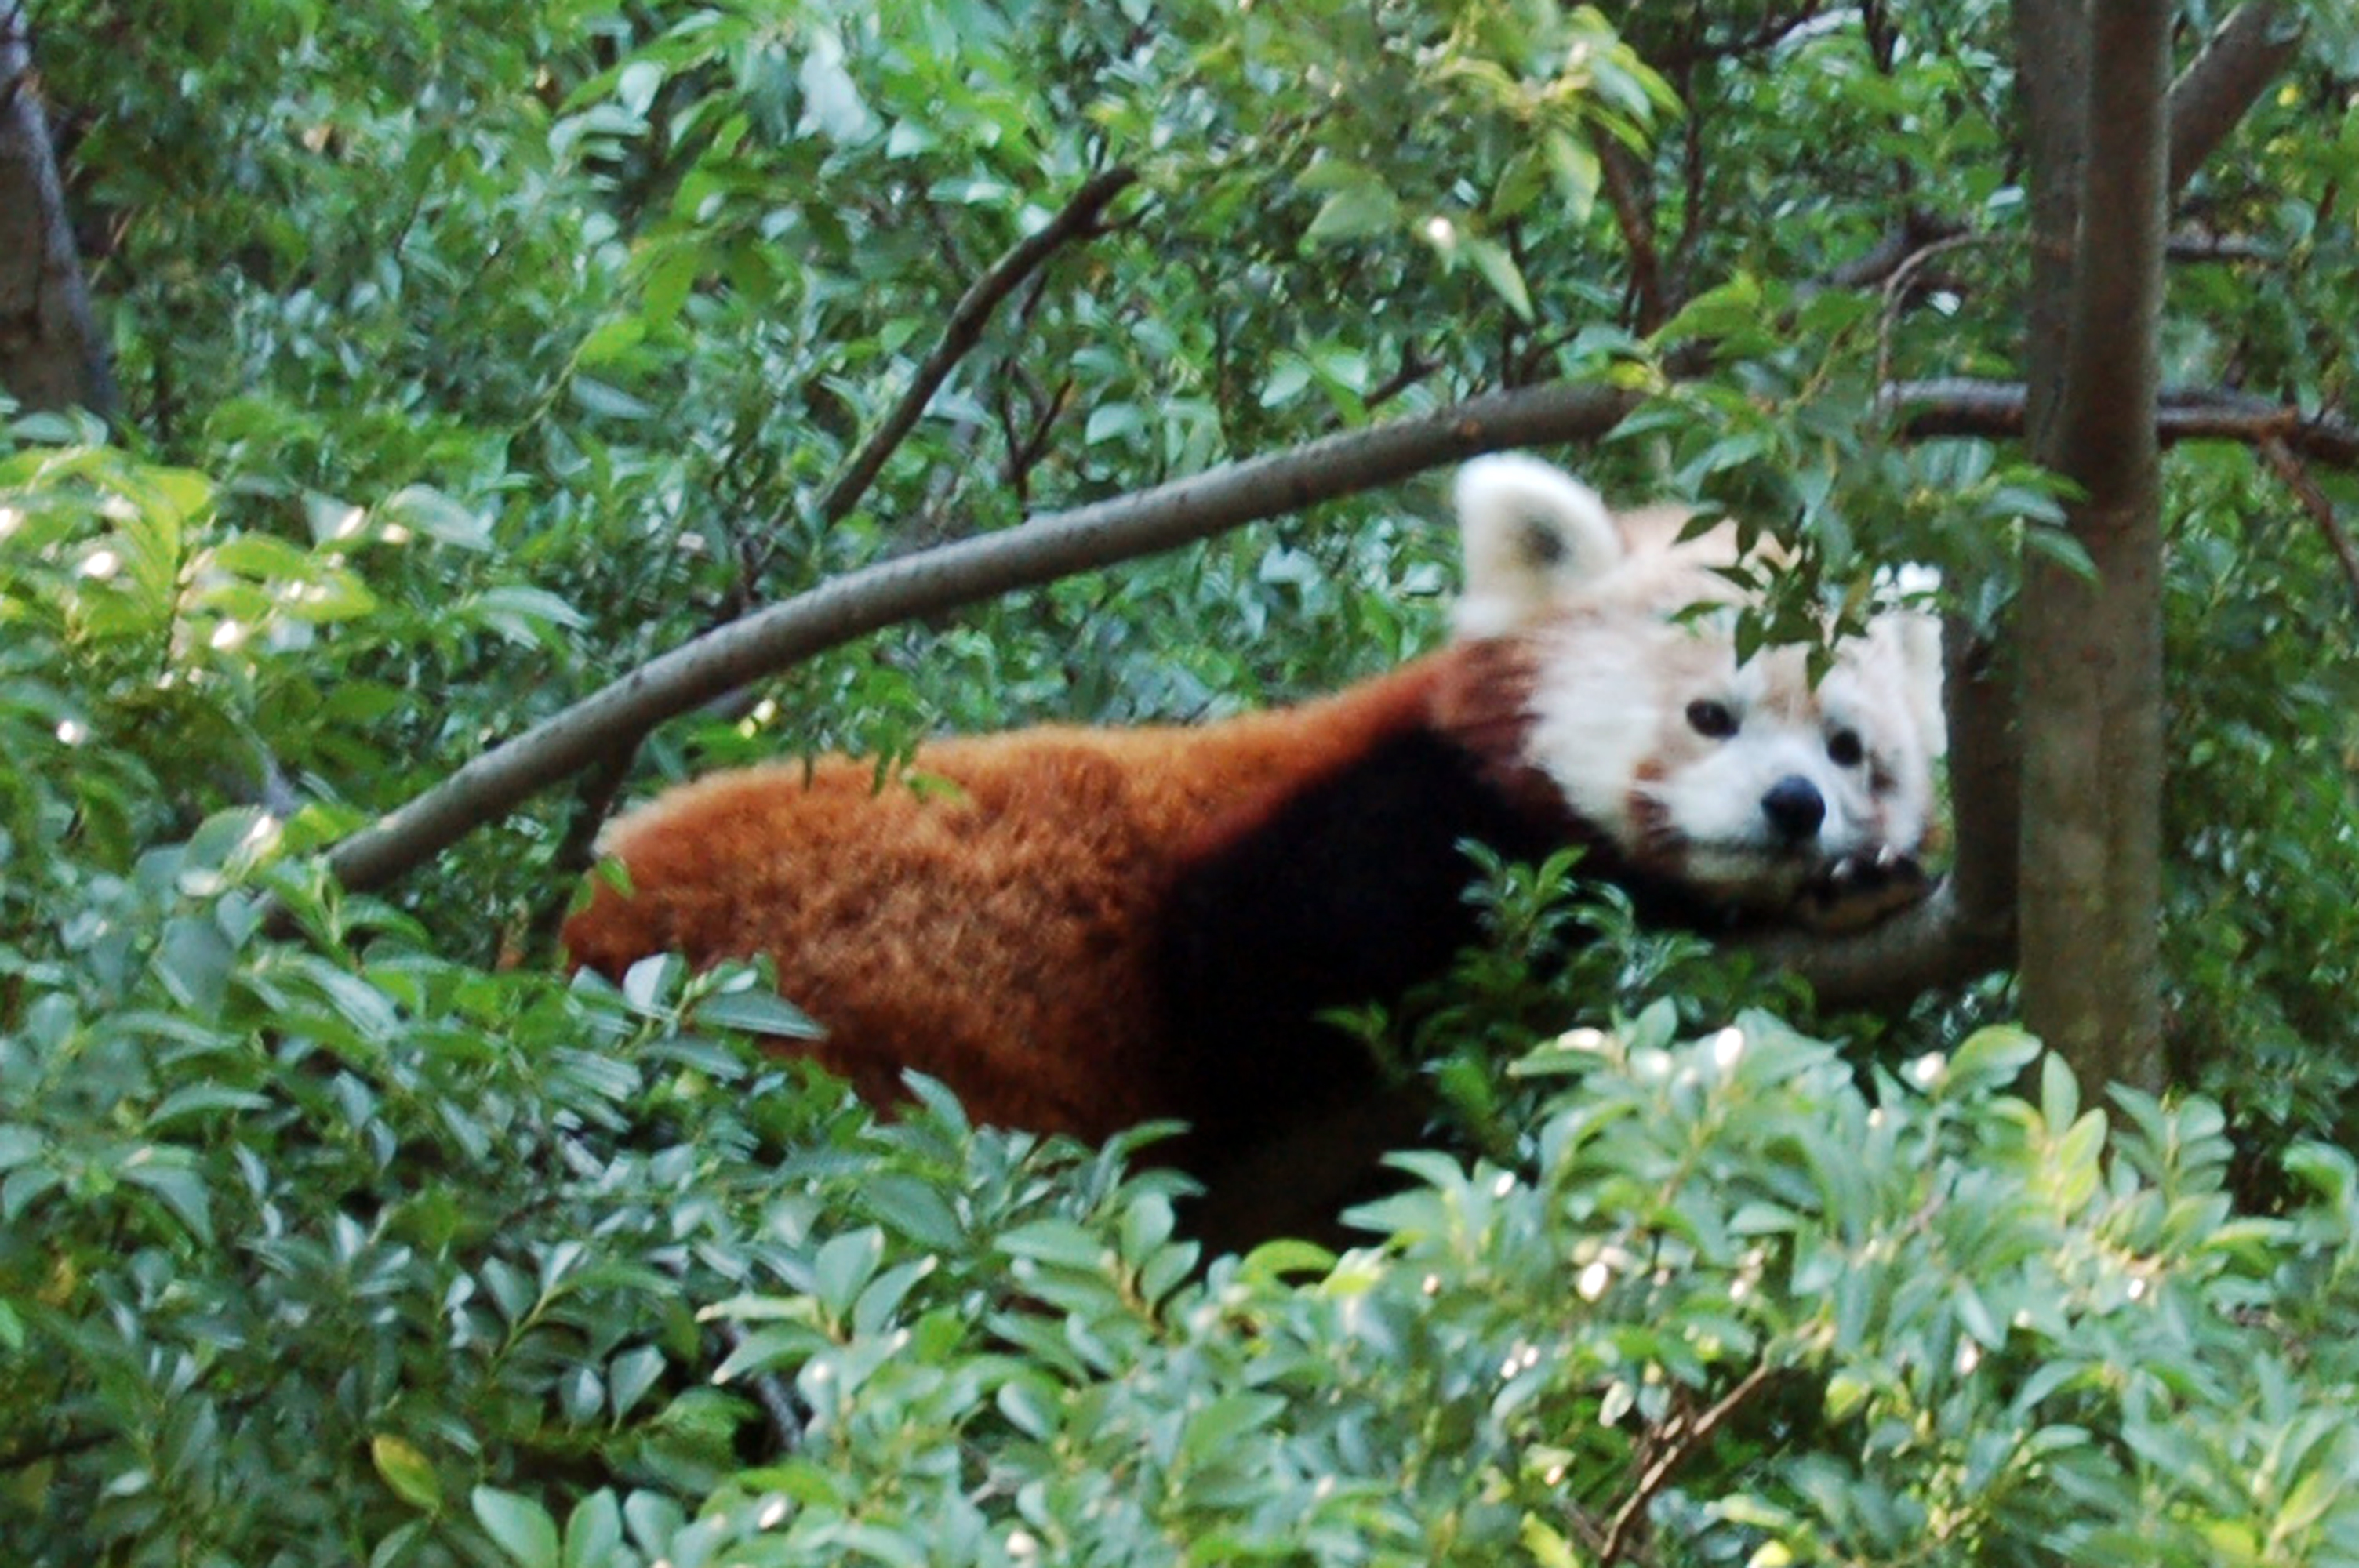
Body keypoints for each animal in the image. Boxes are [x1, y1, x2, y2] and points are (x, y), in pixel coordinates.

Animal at [561, 452, 1943, 1235]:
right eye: (1712, 715)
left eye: (1848, 750)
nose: (1796, 809)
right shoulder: (1346, 840)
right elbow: (1297, 969)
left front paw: (1857, 880)